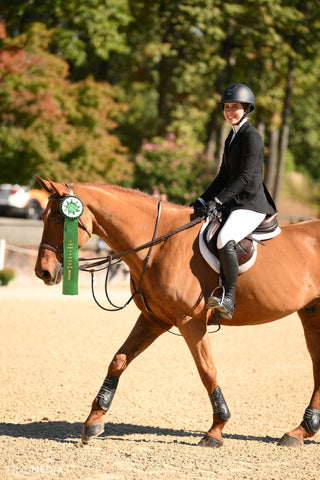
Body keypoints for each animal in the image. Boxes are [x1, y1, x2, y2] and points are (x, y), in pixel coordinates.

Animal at [35, 177, 320, 450]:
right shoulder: (154, 319)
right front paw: (93, 422)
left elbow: (207, 370)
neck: (161, 244)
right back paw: (300, 431)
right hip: (311, 315)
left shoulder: (190, 321)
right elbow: (119, 360)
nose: (43, 272)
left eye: (59, 218)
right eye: (44, 217)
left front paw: (216, 429)